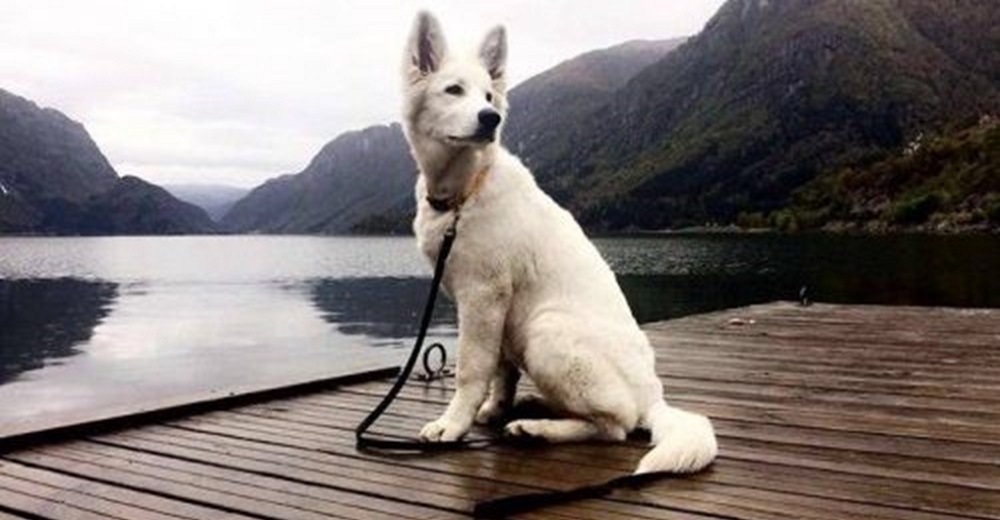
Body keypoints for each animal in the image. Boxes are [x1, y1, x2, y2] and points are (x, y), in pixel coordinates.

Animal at [402, 11, 716, 476]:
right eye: (453, 90)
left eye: (489, 96)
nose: (490, 118)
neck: (464, 192)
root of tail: (653, 398)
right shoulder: (494, 306)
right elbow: (501, 370)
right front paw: (493, 409)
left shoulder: (483, 294)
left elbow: (471, 370)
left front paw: (452, 425)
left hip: (546, 330)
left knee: (616, 426)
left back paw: (538, 429)